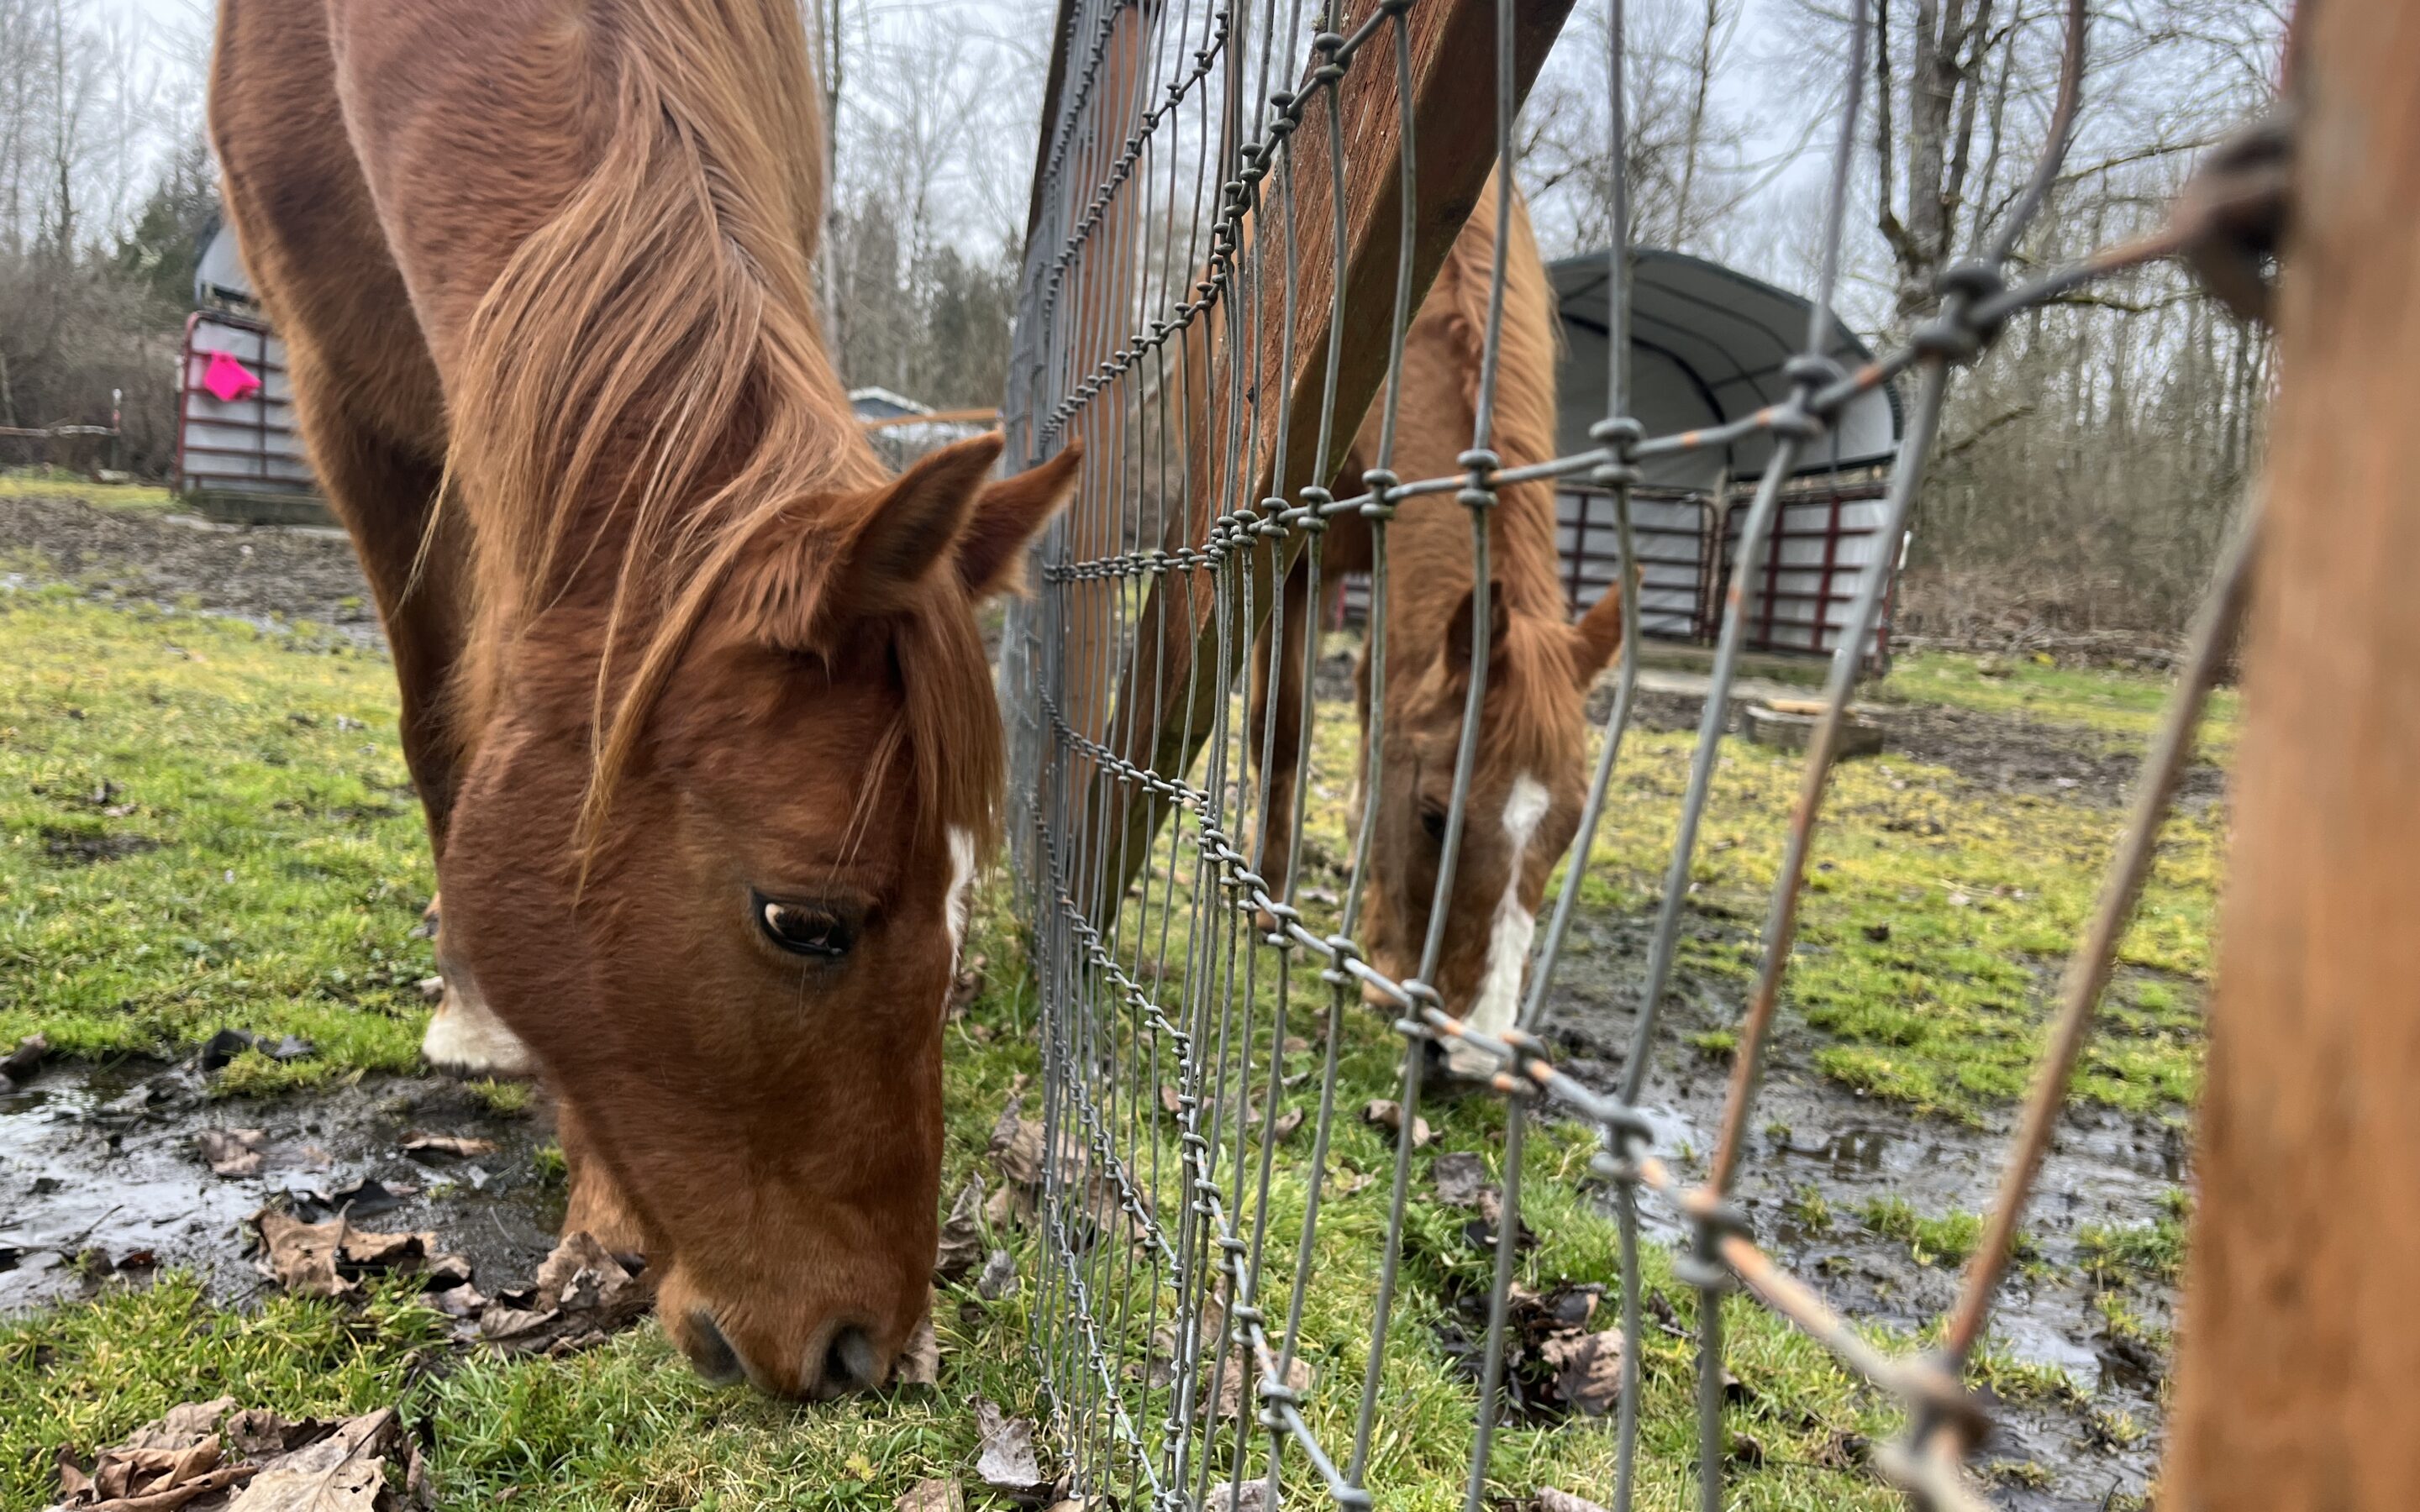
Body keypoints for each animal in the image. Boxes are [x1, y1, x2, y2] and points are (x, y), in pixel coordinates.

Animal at [1249, 174, 1626, 1074]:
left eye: (1568, 831)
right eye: (1433, 817)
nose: (1475, 1053)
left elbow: (1375, 702)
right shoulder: (1297, 554)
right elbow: (1281, 727)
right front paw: (1267, 897)